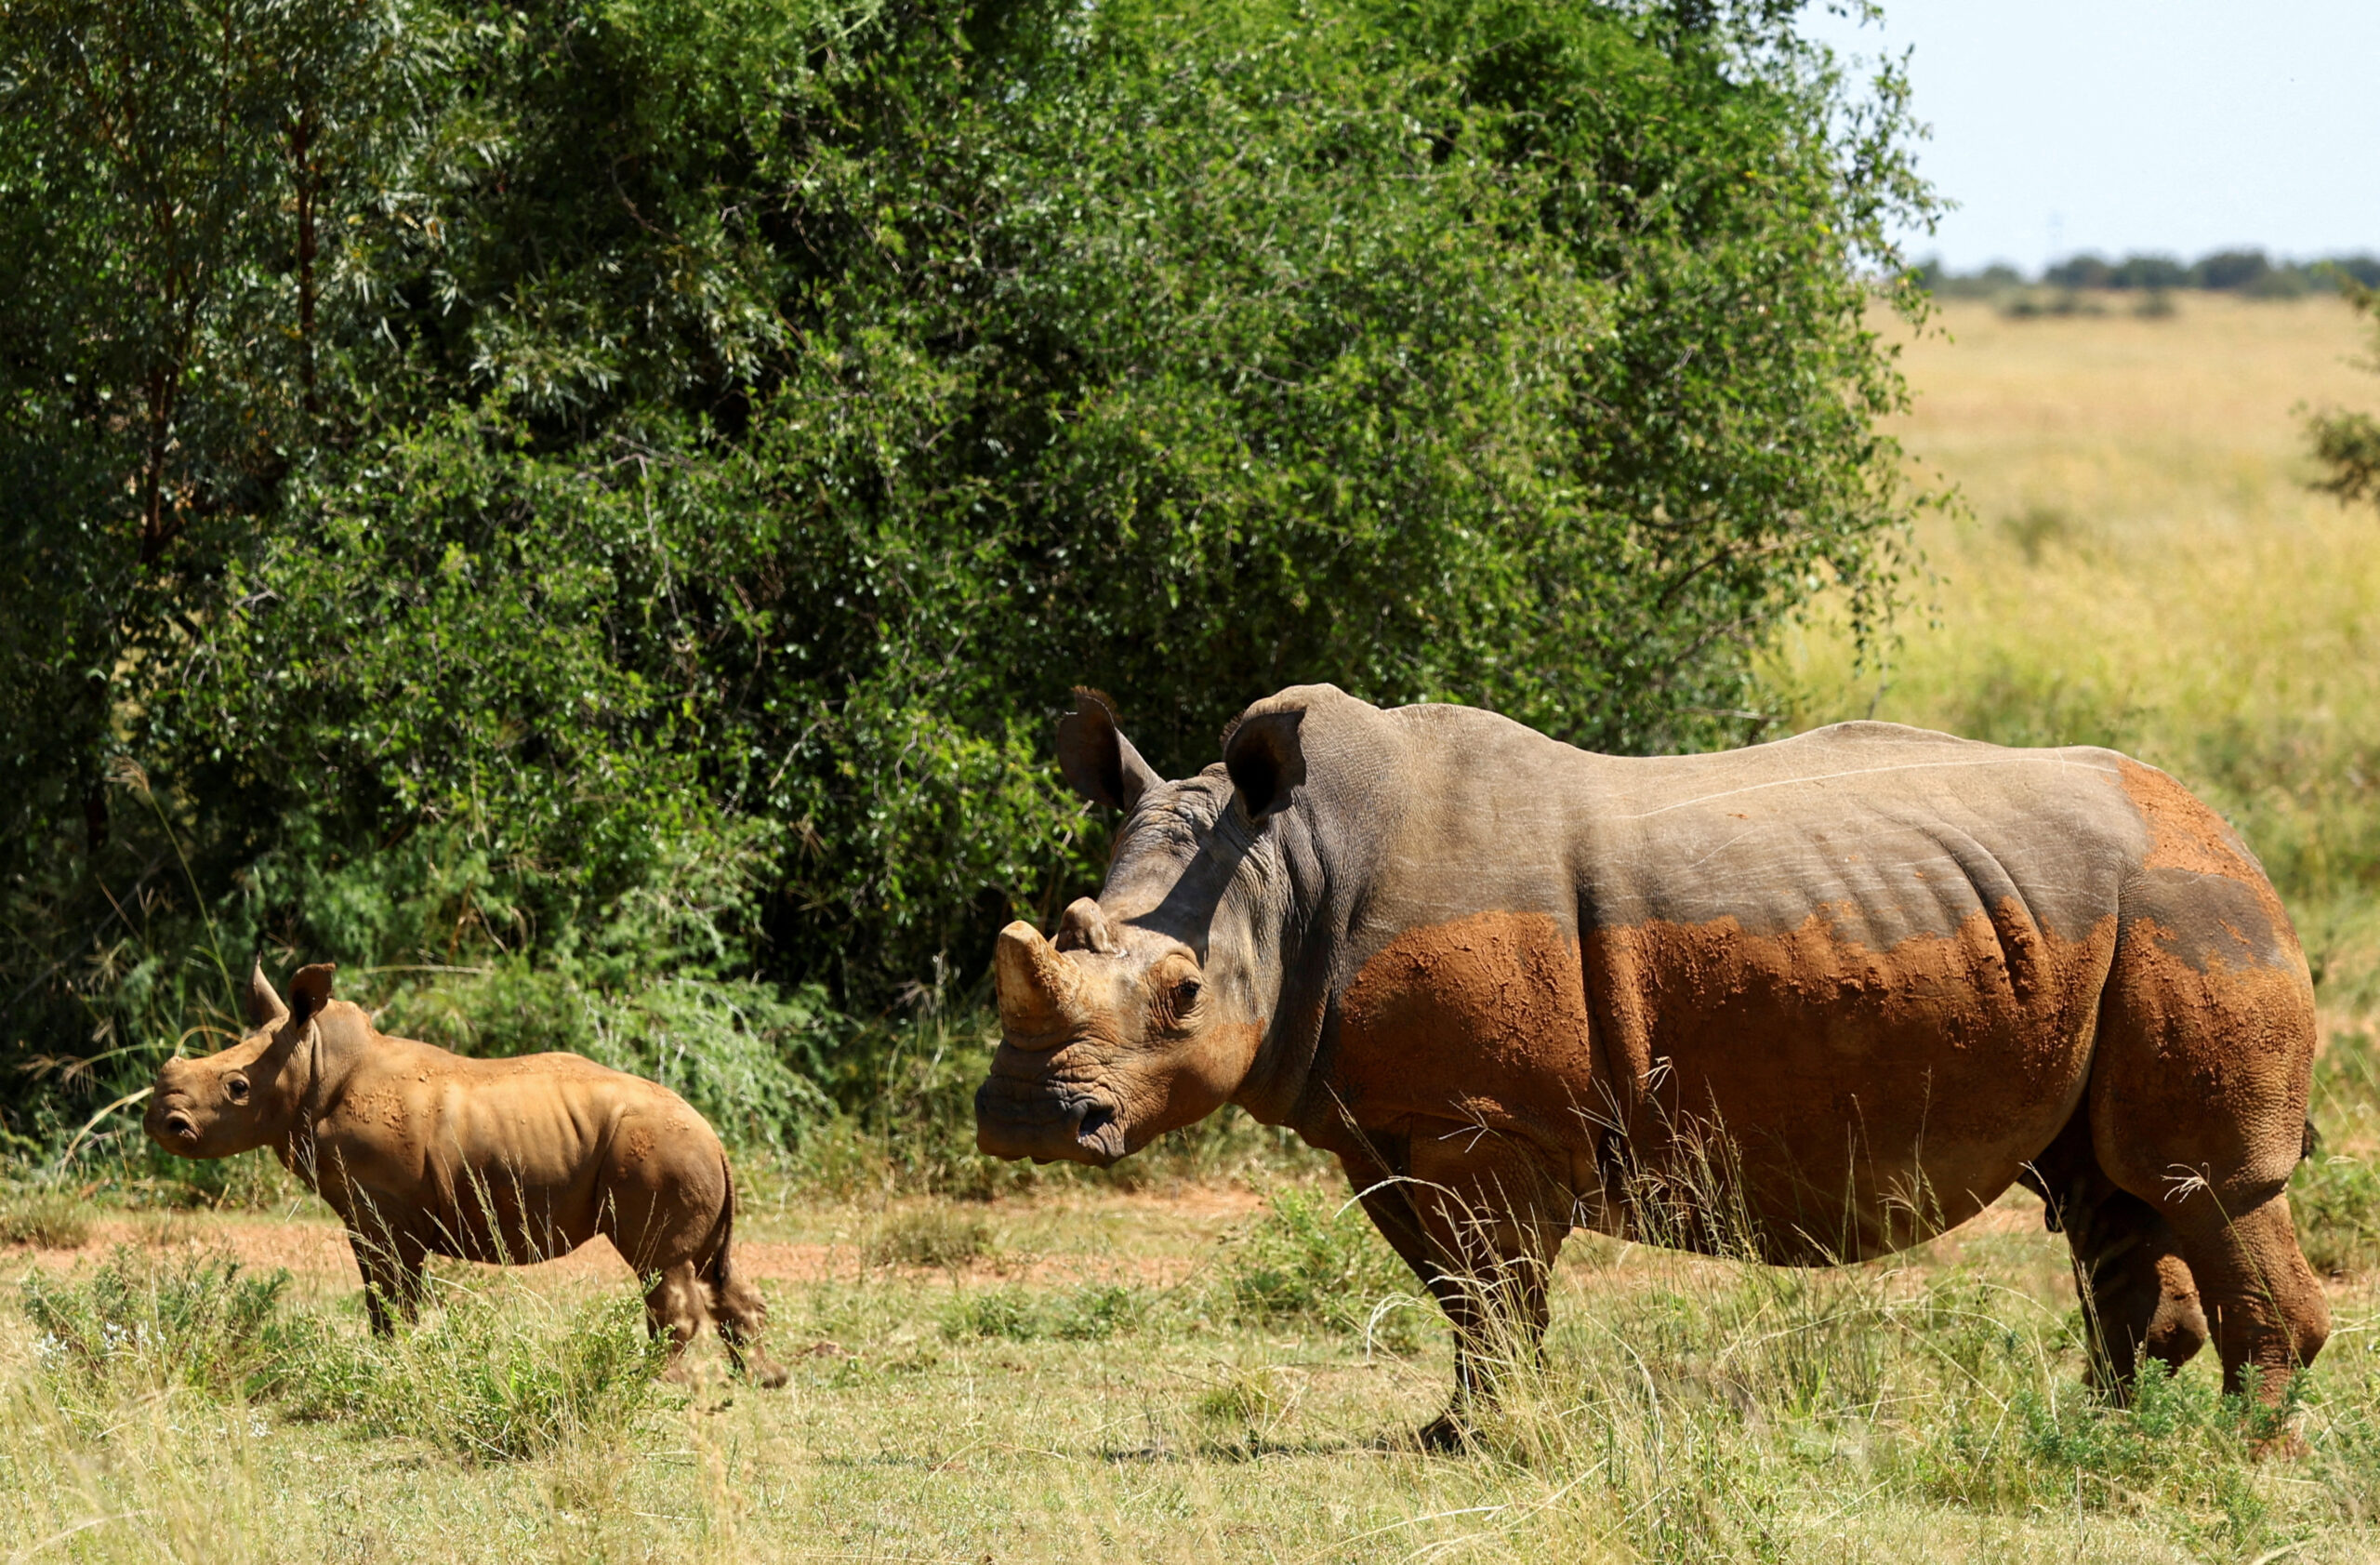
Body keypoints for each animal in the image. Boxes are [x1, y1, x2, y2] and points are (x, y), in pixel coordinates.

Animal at [143, 957, 785, 1381]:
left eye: (237, 1087)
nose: (161, 1121)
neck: (315, 1063)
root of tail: (715, 1136)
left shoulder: (385, 1213)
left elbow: (392, 1295)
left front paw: (392, 1366)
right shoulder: (371, 1214)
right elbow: (382, 1297)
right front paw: (390, 1359)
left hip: (659, 1152)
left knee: (662, 1269)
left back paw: (653, 1386)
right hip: (681, 1153)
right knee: (710, 1268)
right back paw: (755, 1383)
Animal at [975, 685, 2332, 1439]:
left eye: (1184, 993)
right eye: (1067, 925)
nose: (1031, 1119)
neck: (1290, 870)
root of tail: (2226, 825)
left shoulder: (1487, 1120)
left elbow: (1495, 1287)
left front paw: (1490, 1441)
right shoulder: (1389, 1121)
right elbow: (1462, 1293)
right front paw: (1451, 1431)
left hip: (2185, 906)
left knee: (2202, 1182)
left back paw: (2230, 1451)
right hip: (2102, 921)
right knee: (2107, 1191)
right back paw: (2102, 1431)